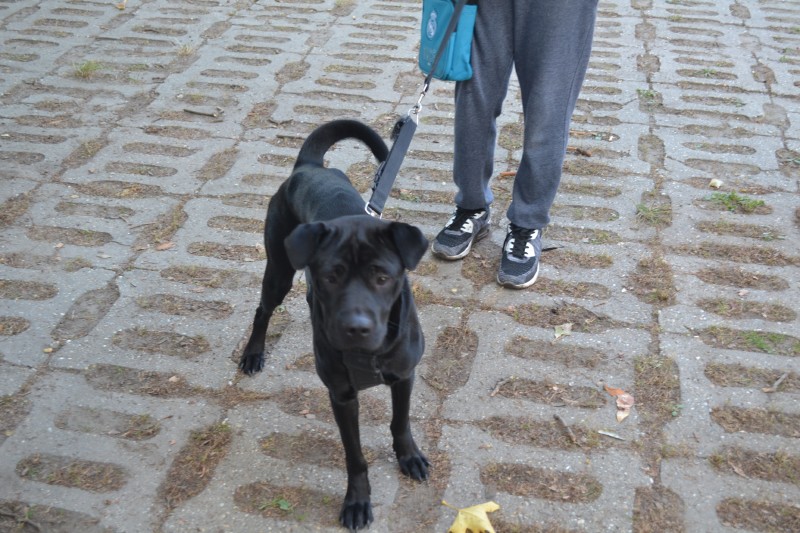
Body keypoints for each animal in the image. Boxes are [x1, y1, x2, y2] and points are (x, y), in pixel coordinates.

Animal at [238, 119, 430, 531]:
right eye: (331, 276)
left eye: (382, 277)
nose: (356, 327)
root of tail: (309, 167)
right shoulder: (341, 396)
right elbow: (354, 456)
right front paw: (357, 500)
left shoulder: (404, 375)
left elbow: (401, 423)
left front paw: (408, 456)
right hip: (278, 270)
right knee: (263, 310)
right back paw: (253, 354)